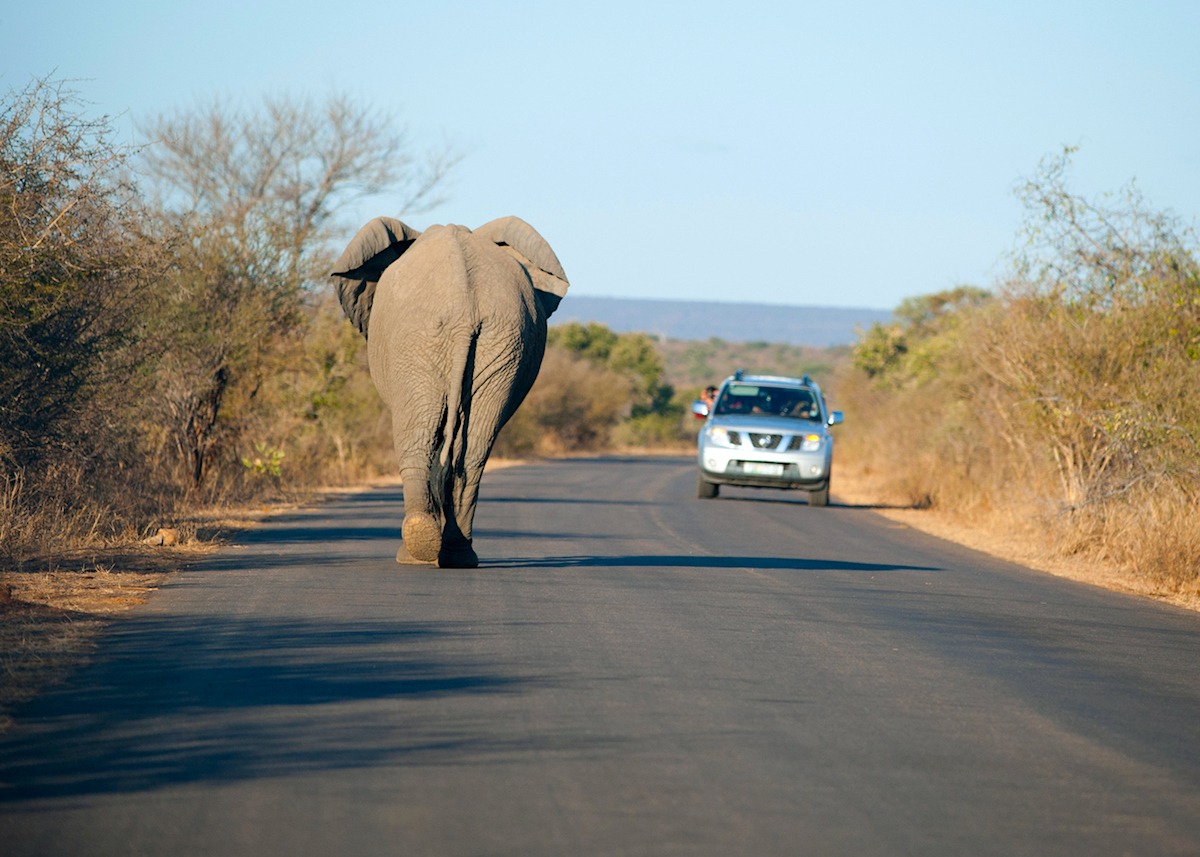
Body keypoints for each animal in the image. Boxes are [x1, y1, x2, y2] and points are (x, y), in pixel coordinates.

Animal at [331, 213, 568, 566]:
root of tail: (464, 311)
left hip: (416, 344)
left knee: (417, 438)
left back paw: (416, 552)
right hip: (505, 342)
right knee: (472, 453)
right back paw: (457, 556)